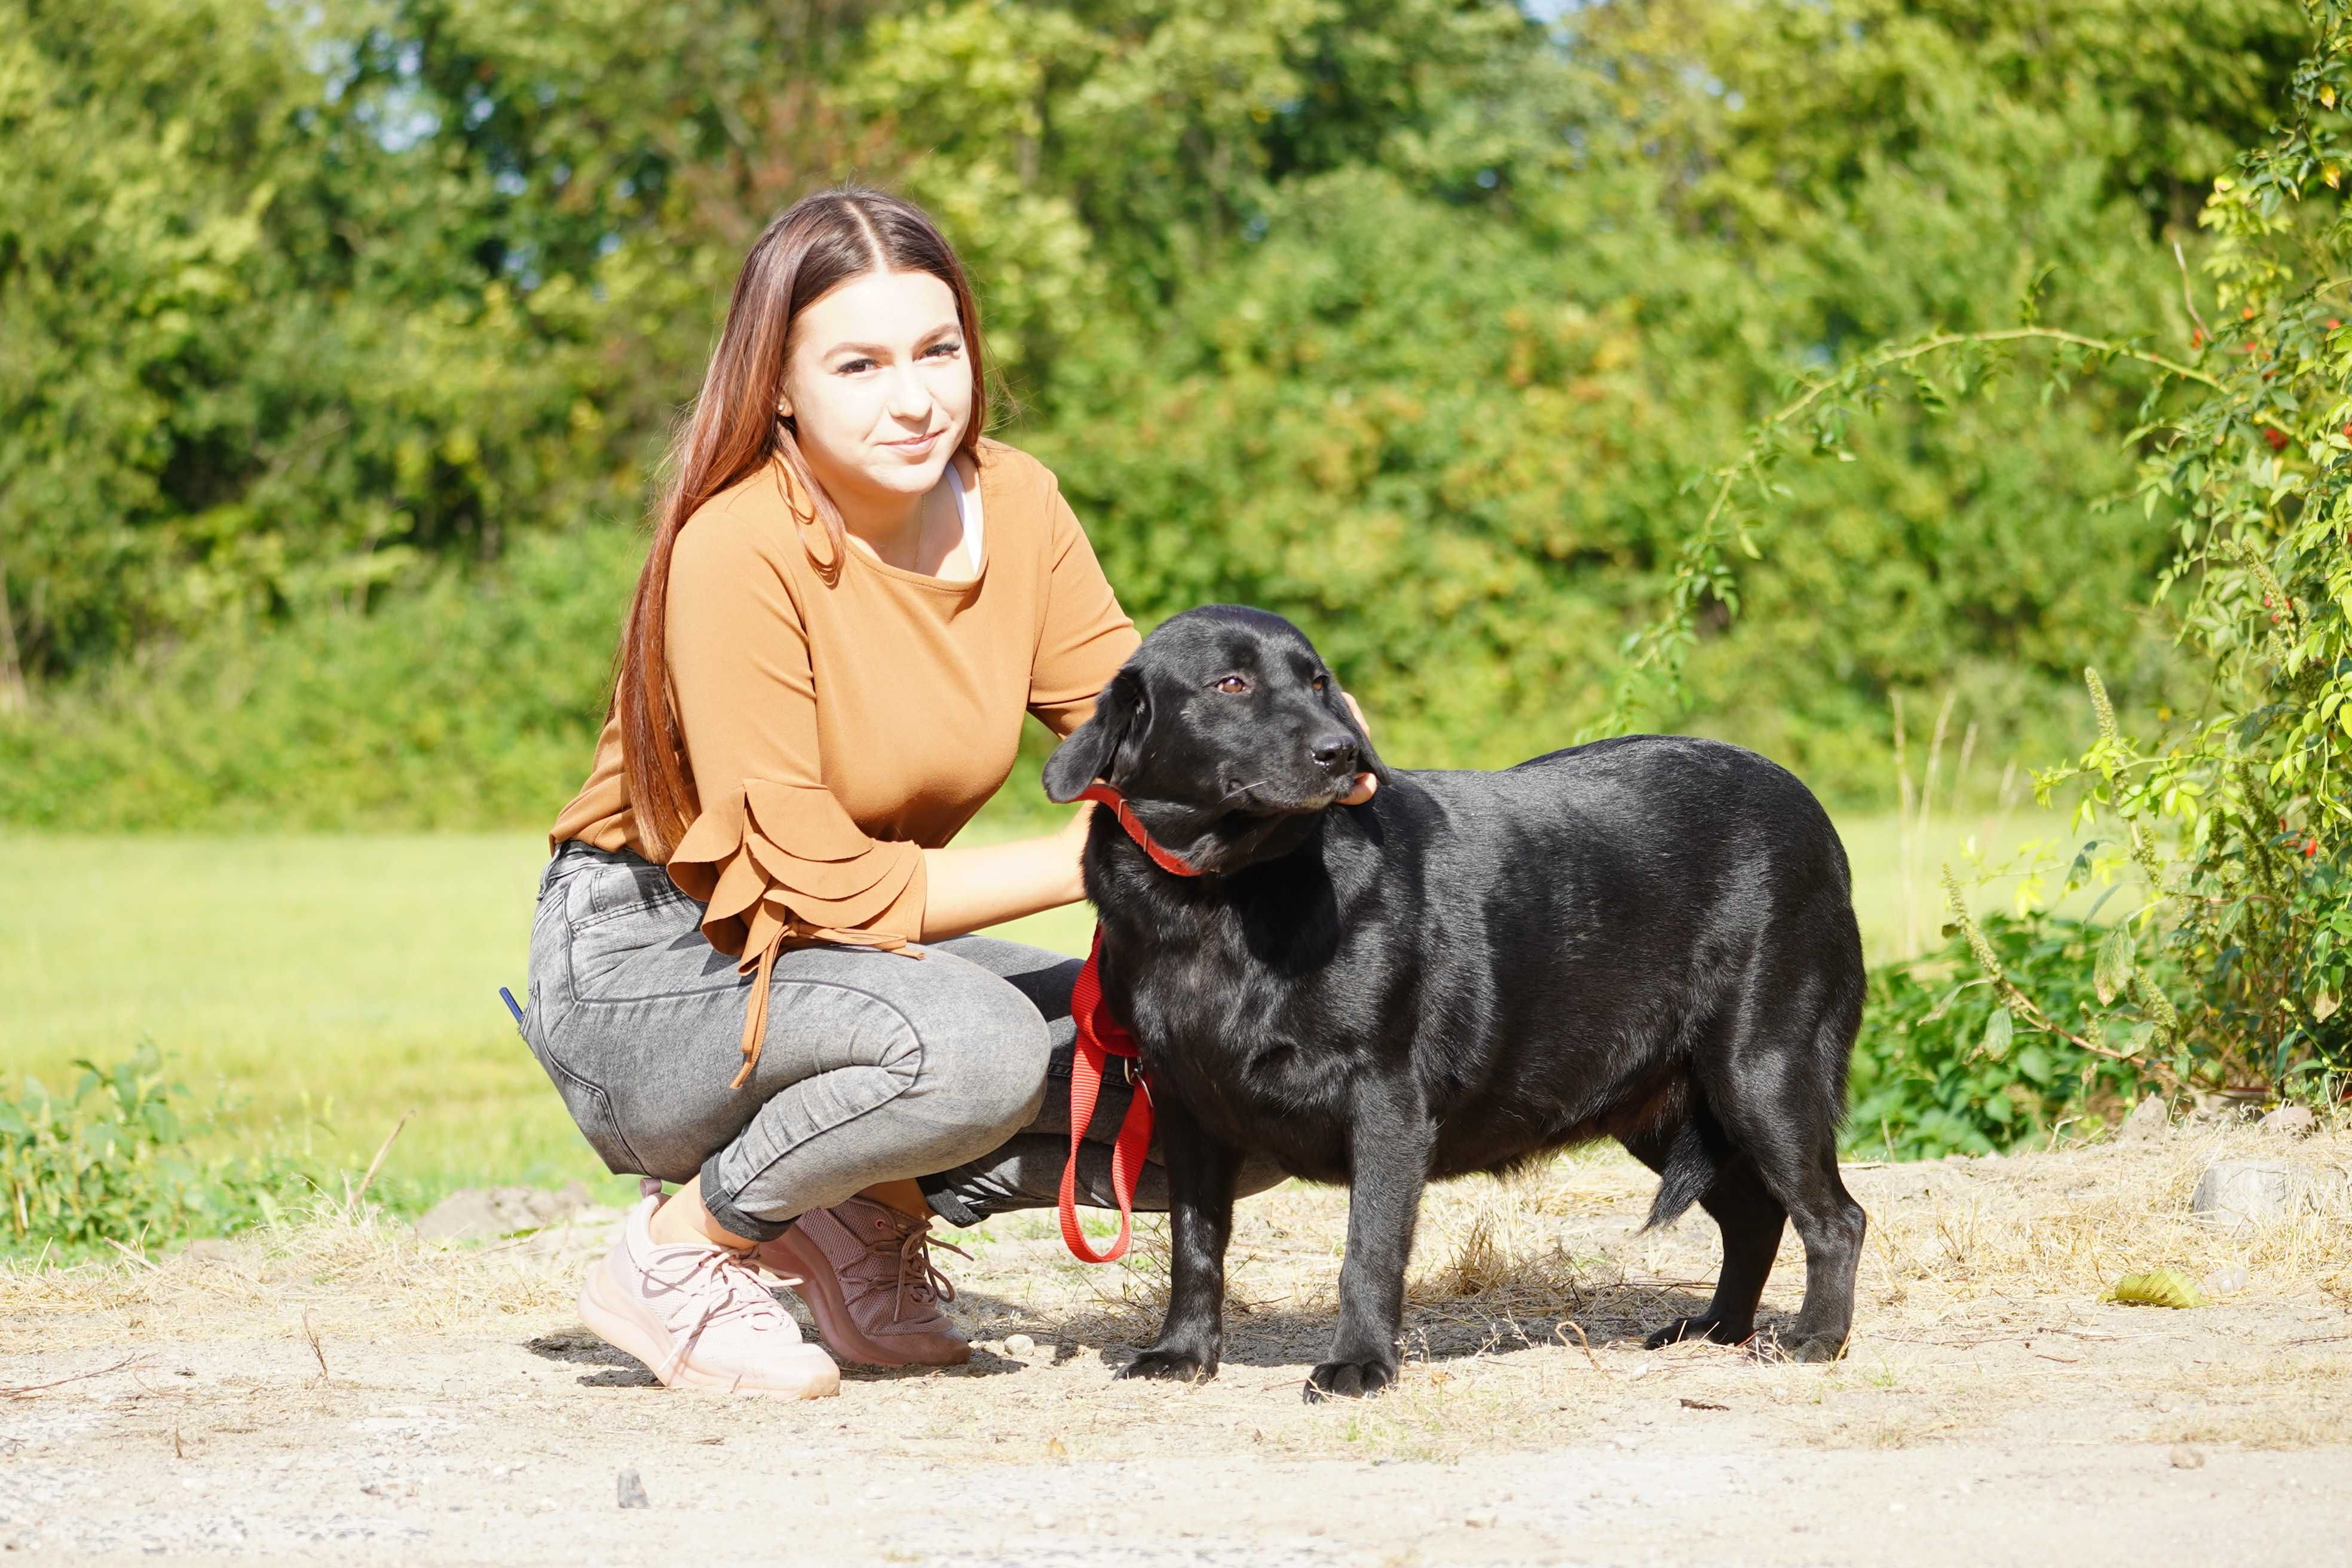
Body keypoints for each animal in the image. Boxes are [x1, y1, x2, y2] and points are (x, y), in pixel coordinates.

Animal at [1049, 606, 1872, 1401]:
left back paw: (1814, 1339)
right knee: (1757, 1213)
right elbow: (1195, 1247)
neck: (1220, 894)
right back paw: (1718, 1329)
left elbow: (1369, 1249)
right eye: (1231, 684)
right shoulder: (1186, 1106)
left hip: (1760, 1071)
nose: (1340, 752)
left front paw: (1360, 1364)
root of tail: (1814, 812)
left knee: (1837, 1217)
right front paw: (1182, 1353)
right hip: (1666, 1106)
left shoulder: (1387, 1103)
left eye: (1318, 683)